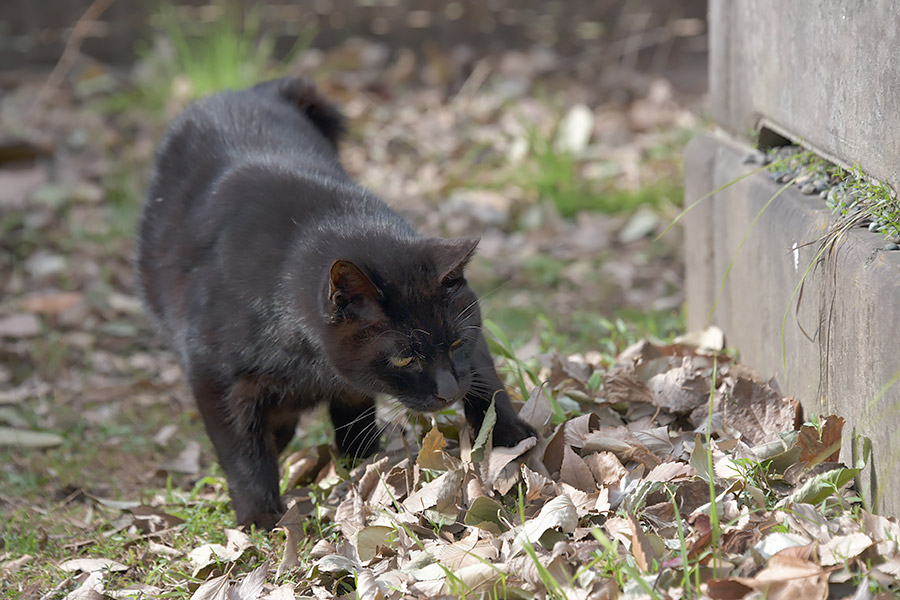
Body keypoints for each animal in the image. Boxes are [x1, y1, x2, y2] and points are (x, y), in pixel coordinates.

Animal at [137, 77, 536, 528]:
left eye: (454, 343)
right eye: (404, 359)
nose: (448, 390)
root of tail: (247, 91)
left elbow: (486, 381)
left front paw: (510, 441)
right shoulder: (213, 376)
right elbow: (242, 453)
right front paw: (261, 518)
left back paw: (360, 462)